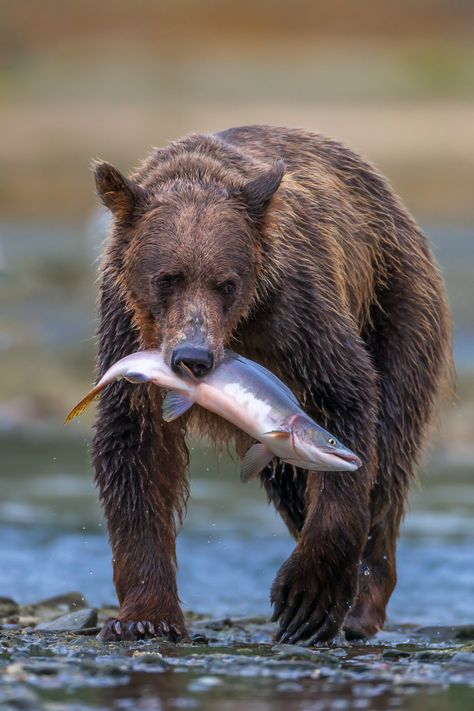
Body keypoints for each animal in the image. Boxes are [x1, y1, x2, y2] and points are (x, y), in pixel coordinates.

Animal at [92, 124, 452, 644]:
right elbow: (134, 447)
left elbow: (346, 400)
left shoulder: (298, 313)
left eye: (226, 282)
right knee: (290, 483)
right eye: (167, 278)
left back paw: (361, 602)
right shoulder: (126, 331)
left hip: (397, 303)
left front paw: (308, 597)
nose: (193, 358)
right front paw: (145, 616)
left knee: (390, 453)